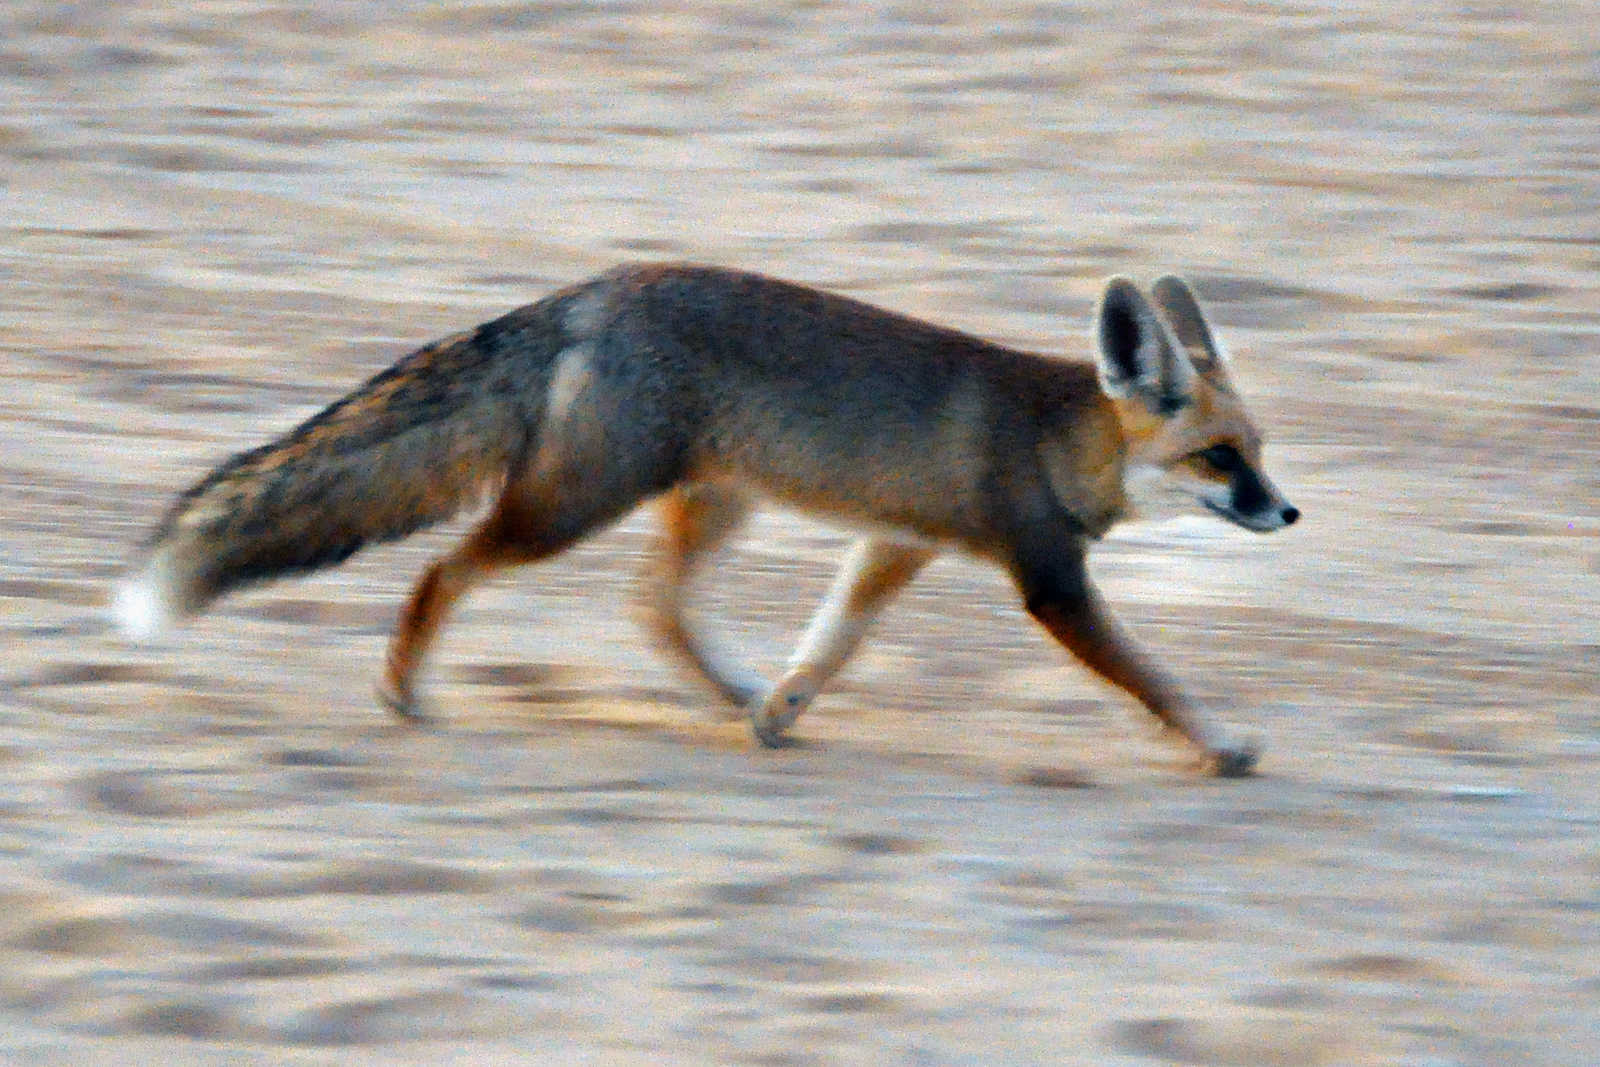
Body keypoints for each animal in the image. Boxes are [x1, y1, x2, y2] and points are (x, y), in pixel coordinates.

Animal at [116, 263, 1298, 777]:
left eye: (1260, 449)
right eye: (1220, 459)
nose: (1287, 509)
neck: (1054, 436)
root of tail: (588, 291)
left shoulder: (893, 544)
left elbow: (829, 643)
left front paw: (781, 706)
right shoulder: (1049, 580)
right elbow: (1155, 677)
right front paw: (1224, 743)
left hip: (709, 503)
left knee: (656, 608)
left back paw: (738, 696)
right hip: (575, 506)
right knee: (446, 570)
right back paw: (404, 687)